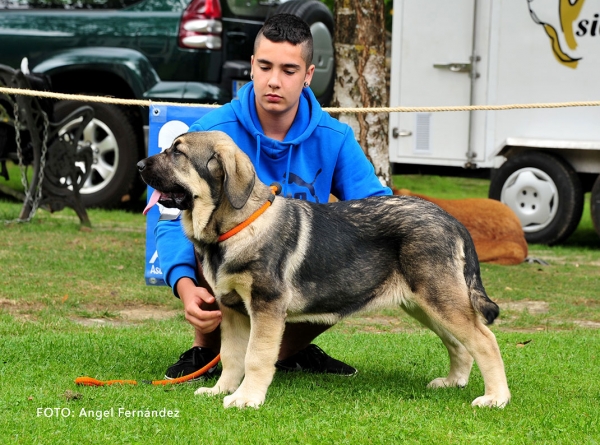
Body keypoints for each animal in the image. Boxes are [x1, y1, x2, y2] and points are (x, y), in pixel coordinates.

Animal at [139, 131, 510, 410]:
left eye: (178, 152)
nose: (140, 164)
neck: (235, 226)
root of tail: (451, 220)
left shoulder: (266, 308)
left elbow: (255, 357)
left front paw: (246, 399)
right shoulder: (232, 310)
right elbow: (231, 356)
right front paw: (221, 391)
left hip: (439, 298)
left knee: (485, 340)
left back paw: (495, 398)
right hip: (424, 303)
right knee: (459, 343)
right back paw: (453, 381)